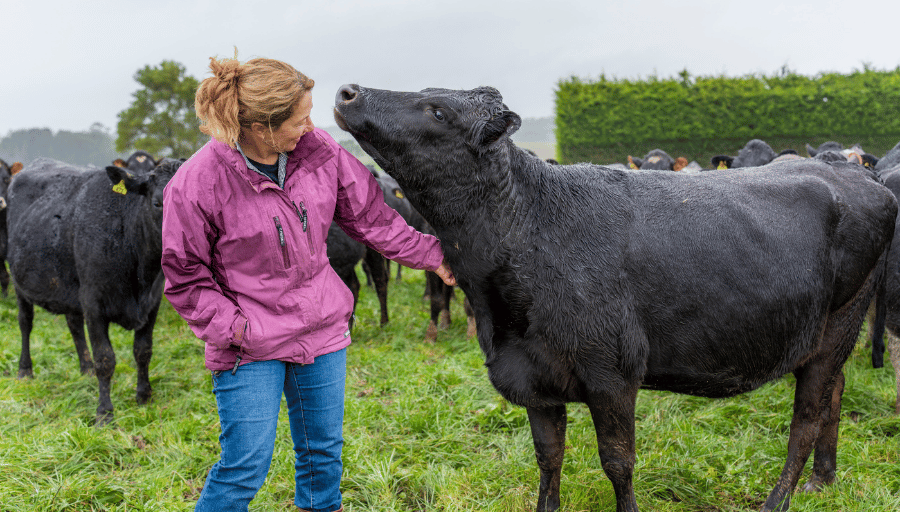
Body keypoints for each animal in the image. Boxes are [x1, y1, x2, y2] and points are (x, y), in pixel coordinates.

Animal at [7, 157, 182, 424]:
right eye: (157, 203)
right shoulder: (94, 304)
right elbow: (105, 358)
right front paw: (104, 412)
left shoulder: (152, 302)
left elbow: (143, 350)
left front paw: (144, 395)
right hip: (19, 283)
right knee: (25, 322)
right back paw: (25, 370)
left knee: (74, 325)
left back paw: (85, 369)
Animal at [333, 84, 897, 512]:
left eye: (438, 110)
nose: (348, 92)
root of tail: (855, 171)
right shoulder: (533, 375)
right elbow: (549, 458)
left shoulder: (613, 373)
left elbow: (618, 463)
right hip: (828, 334)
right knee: (834, 397)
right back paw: (823, 479)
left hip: (839, 324)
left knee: (806, 420)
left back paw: (778, 500)